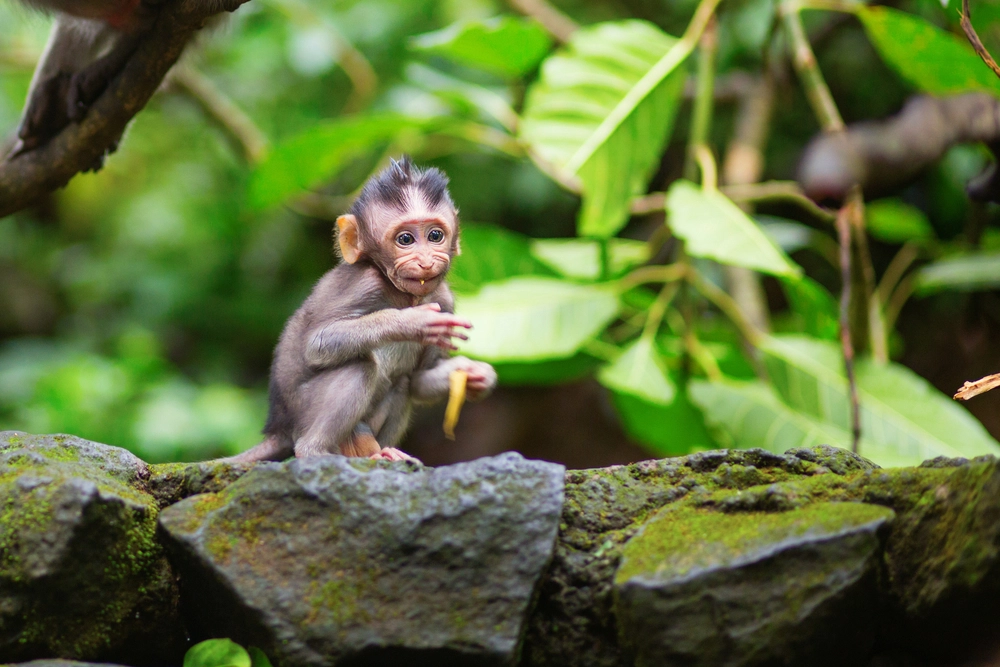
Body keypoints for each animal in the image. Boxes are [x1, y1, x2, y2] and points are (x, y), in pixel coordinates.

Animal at [234, 159, 500, 468]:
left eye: (435, 235)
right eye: (405, 239)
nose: (425, 261)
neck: (402, 294)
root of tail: (279, 428)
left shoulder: (444, 300)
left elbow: (420, 381)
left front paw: (477, 375)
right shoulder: (363, 282)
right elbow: (317, 343)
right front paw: (411, 322)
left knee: (402, 384)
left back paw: (384, 452)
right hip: (304, 410)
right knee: (359, 366)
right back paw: (315, 451)